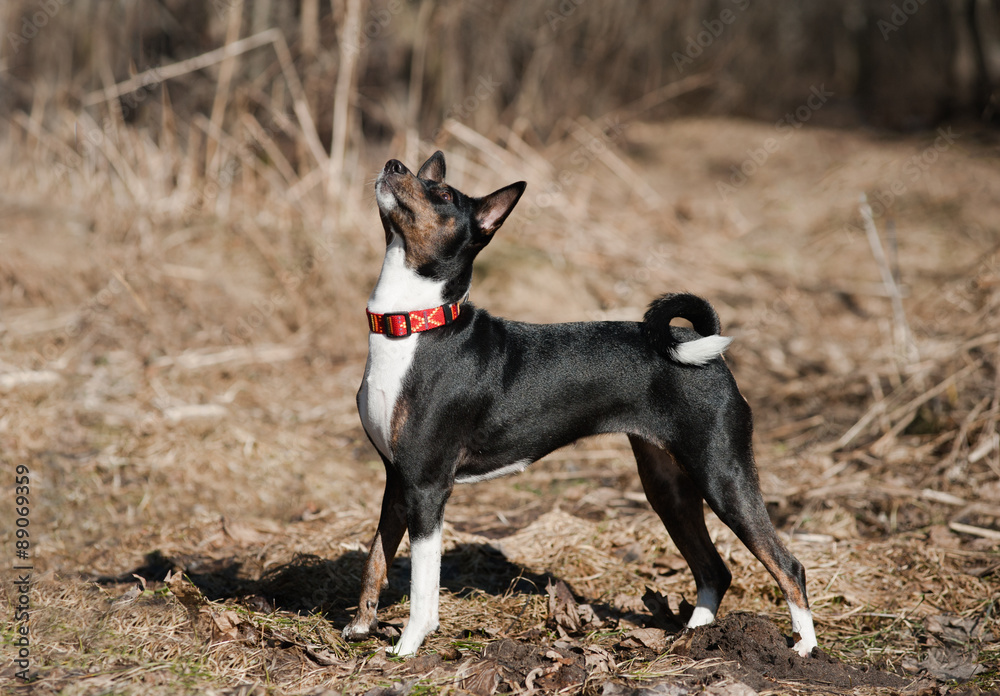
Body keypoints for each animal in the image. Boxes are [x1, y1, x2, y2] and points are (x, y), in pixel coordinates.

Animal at [340, 152, 816, 656]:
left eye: (444, 194)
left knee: (787, 565)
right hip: (668, 486)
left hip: (722, 476)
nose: (393, 163)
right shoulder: (397, 481)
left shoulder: (427, 487)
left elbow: (421, 584)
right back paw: (693, 638)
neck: (413, 325)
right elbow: (375, 560)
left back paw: (803, 647)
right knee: (713, 569)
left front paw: (407, 646)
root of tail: (701, 348)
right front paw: (359, 629)